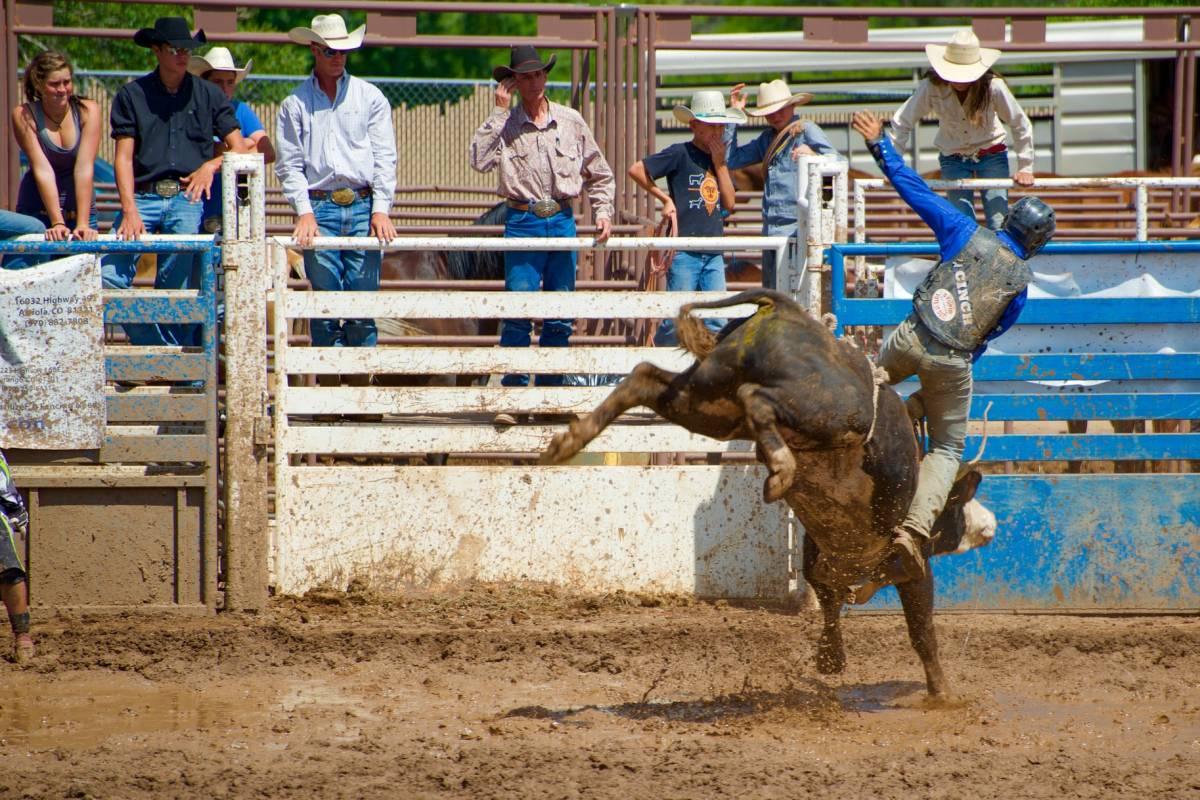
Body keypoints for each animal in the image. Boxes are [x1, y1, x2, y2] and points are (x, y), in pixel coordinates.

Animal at [544, 291, 993, 695]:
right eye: (959, 508)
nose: (988, 525)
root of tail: (786, 308)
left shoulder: (821, 561)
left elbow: (830, 601)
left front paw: (830, 657)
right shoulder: (914, 569)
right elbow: (921, 630)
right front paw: (942, 694)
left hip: (707, 399)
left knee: (645, 376)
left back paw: (569, 441)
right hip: (828, 412)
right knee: (755, 399)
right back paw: (780, 470)